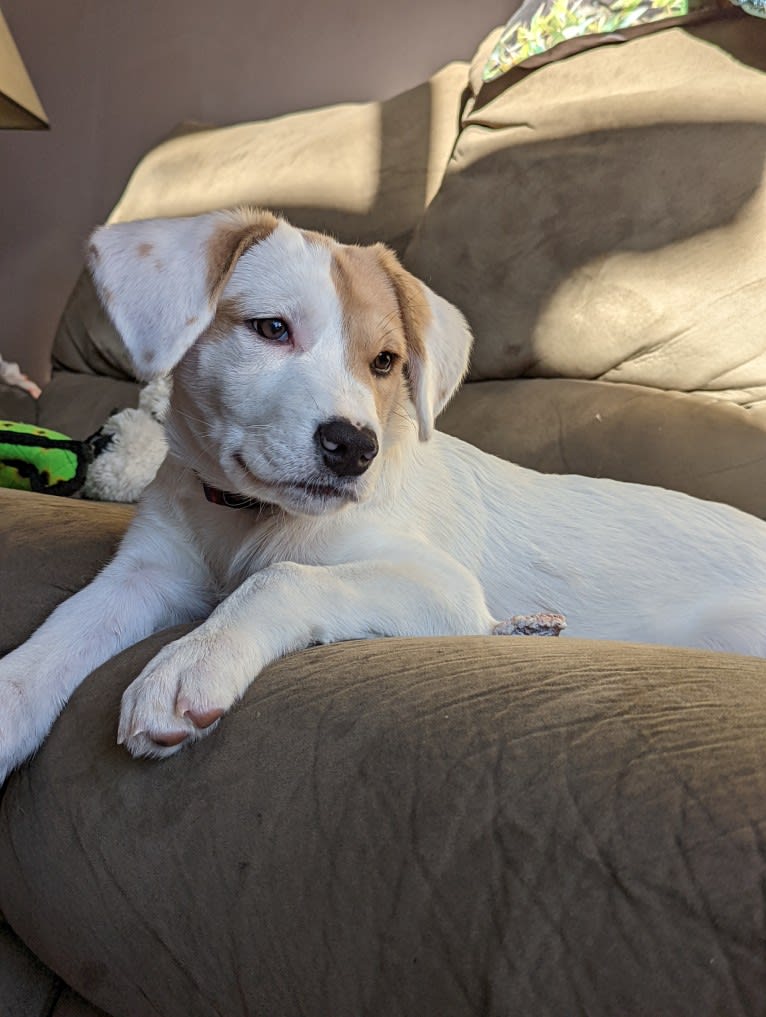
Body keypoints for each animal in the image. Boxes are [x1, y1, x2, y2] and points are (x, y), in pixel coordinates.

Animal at [1, 204, 764, 776]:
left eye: (387, 362)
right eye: (270, 328)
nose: (354, 449)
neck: (248, 518)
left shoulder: (436, 584)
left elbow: (284, 577)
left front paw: (192, 660)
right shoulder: (145, 573)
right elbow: (60, 630)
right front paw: (10, 705)